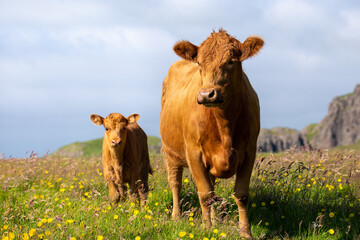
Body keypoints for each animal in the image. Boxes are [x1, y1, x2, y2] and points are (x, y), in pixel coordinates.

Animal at [162, 29, 262, 237]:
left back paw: (215, 220)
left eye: (231, 60)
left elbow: (241, 194)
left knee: (213, 185)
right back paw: (176, 216)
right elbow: (205, 194)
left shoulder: (249, 151)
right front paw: (206, 228)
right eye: (200, 63)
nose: (207, 94)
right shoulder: (194, 153)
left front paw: (245, 232)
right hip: (170, 153)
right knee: (175, 184)